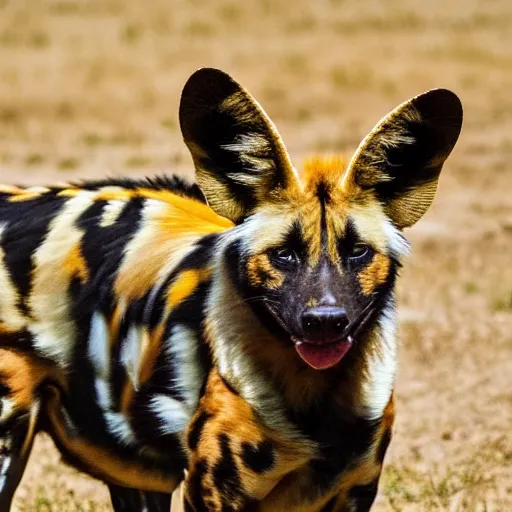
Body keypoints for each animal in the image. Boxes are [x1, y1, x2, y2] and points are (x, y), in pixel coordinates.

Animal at [0, 67, 464, 508]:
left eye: (358, 252)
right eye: (284, 254)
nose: (325, 321)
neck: (317, 404)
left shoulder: (352, 492)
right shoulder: (214, 493)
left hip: (134, 472)